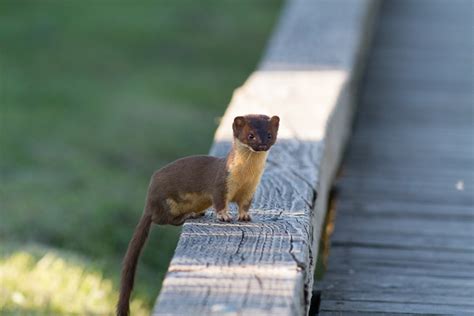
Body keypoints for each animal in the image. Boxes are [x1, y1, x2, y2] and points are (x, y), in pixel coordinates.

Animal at [117, 114, 280, 316]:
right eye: (251, 136)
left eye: (269, 135)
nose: (262, 145)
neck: (245, 178)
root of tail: (149, 200)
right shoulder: (220, 184)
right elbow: (220, 203)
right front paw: (224, 217)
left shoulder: (250, 190)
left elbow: (244, 205)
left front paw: (245, 217)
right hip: (166, 203)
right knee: (161, 219)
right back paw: (187, 216)